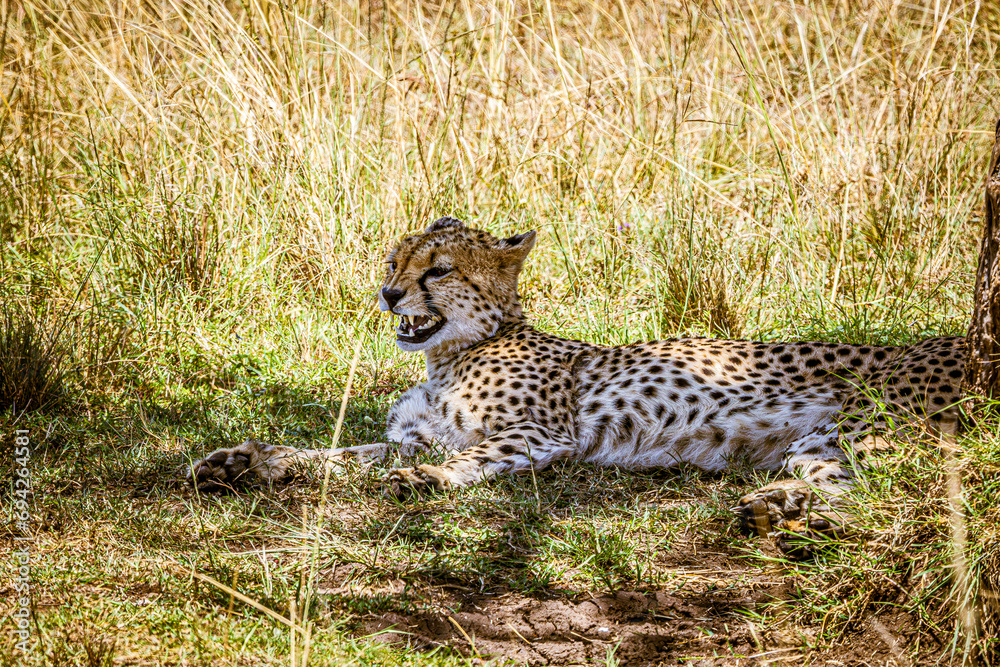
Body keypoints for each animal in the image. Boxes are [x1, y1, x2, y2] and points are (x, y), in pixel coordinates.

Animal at [188, 217, 965, 551]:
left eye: (436, 268)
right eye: (394, 259)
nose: (388, 293)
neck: (454, 352)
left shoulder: (541, 431)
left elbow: (468, 456)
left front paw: (425, 482)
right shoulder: (410, 437)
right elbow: (333, 456)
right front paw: (244, 460)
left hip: (873, 428)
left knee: (909, 497)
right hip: (821, 444)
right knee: (852, 489)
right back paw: (782, 510)